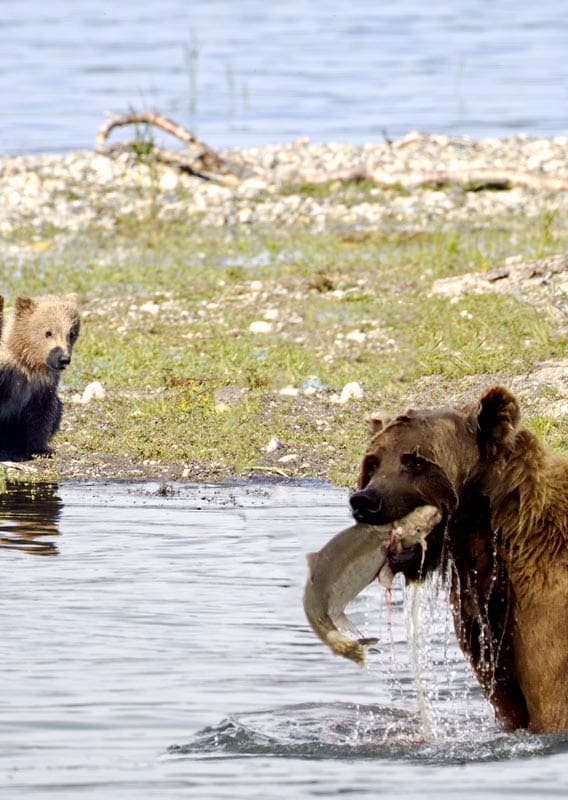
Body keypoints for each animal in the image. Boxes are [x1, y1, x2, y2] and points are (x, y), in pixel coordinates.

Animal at [0, 294, 80, 460]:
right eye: (48, 332)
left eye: (71, 334)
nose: (63, 359)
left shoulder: (43, 386)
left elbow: (42, 413)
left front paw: (42, 449)